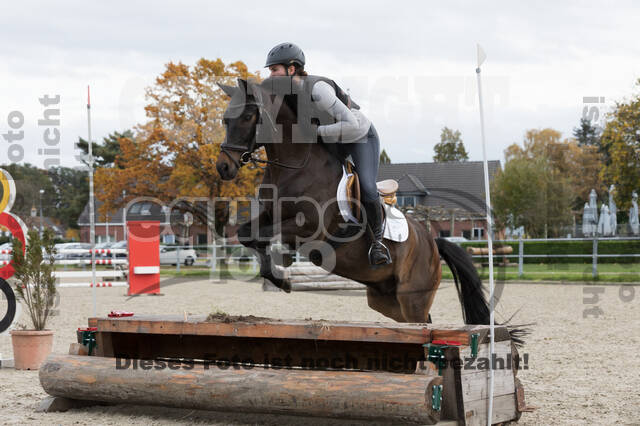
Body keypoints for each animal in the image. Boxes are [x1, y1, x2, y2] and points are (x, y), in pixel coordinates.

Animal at [218, 77, 516, 332]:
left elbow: (265, 236)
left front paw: (284, 272)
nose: (224, 167)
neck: (296, 165)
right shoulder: (271, 214)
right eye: (225, 119)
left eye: (247, 116)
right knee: (420, 321)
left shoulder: (311, 228)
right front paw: (280, 275)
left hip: (412, 297)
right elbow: (247, 234)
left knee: (422, 322)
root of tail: (432, 243)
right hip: (386, 300)